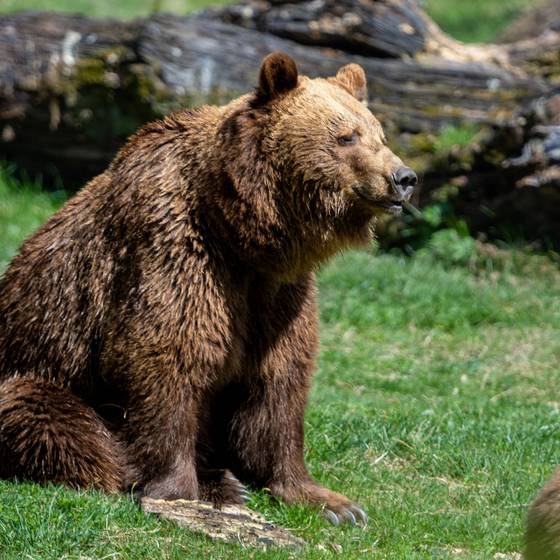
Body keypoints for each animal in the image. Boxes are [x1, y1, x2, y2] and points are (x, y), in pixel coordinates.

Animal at [0, 51, 416, 524]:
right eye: (346, 136)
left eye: (380, 134)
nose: (403, 177)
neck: (239, 229)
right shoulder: (176, 251)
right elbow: (167, 356)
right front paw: (179, 491)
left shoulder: (277, 293)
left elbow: (279, 380)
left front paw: (331, 502)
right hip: (34, 369)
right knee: (46, 415)